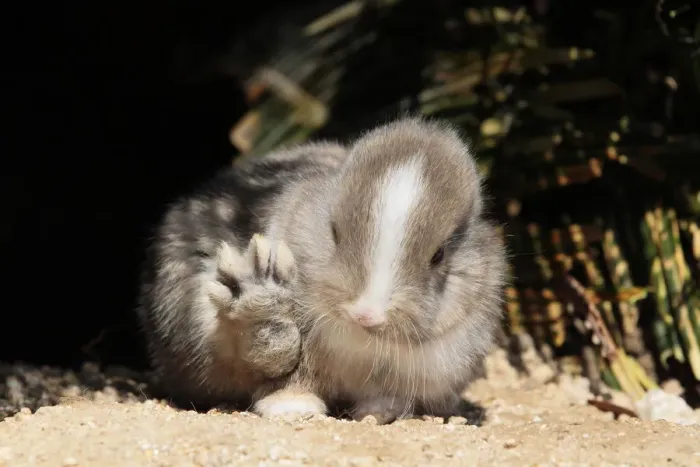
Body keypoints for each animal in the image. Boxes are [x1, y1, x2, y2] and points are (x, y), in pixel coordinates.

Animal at [252, 117, 508, 424]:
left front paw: (377, 413)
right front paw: (290, 408)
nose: (365, 314)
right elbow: (293, 374)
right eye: (334, 231)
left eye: (439, 255)